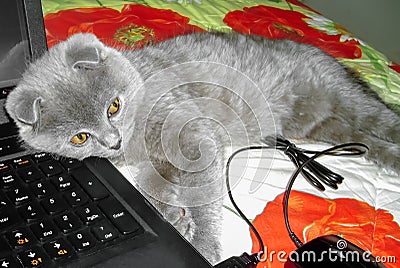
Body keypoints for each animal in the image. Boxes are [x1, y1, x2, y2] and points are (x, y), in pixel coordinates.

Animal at [6, 31, 400, 264]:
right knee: (368, 142)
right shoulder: (156, 158)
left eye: (113, 107)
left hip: (346, 99)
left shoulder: (193, 135)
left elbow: (195, 191)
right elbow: (150, 184)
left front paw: (203, 244)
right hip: (325, 125)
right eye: (80, 137)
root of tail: (330, 59)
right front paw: (173, 215)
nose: (112, 140)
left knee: (386, 122)